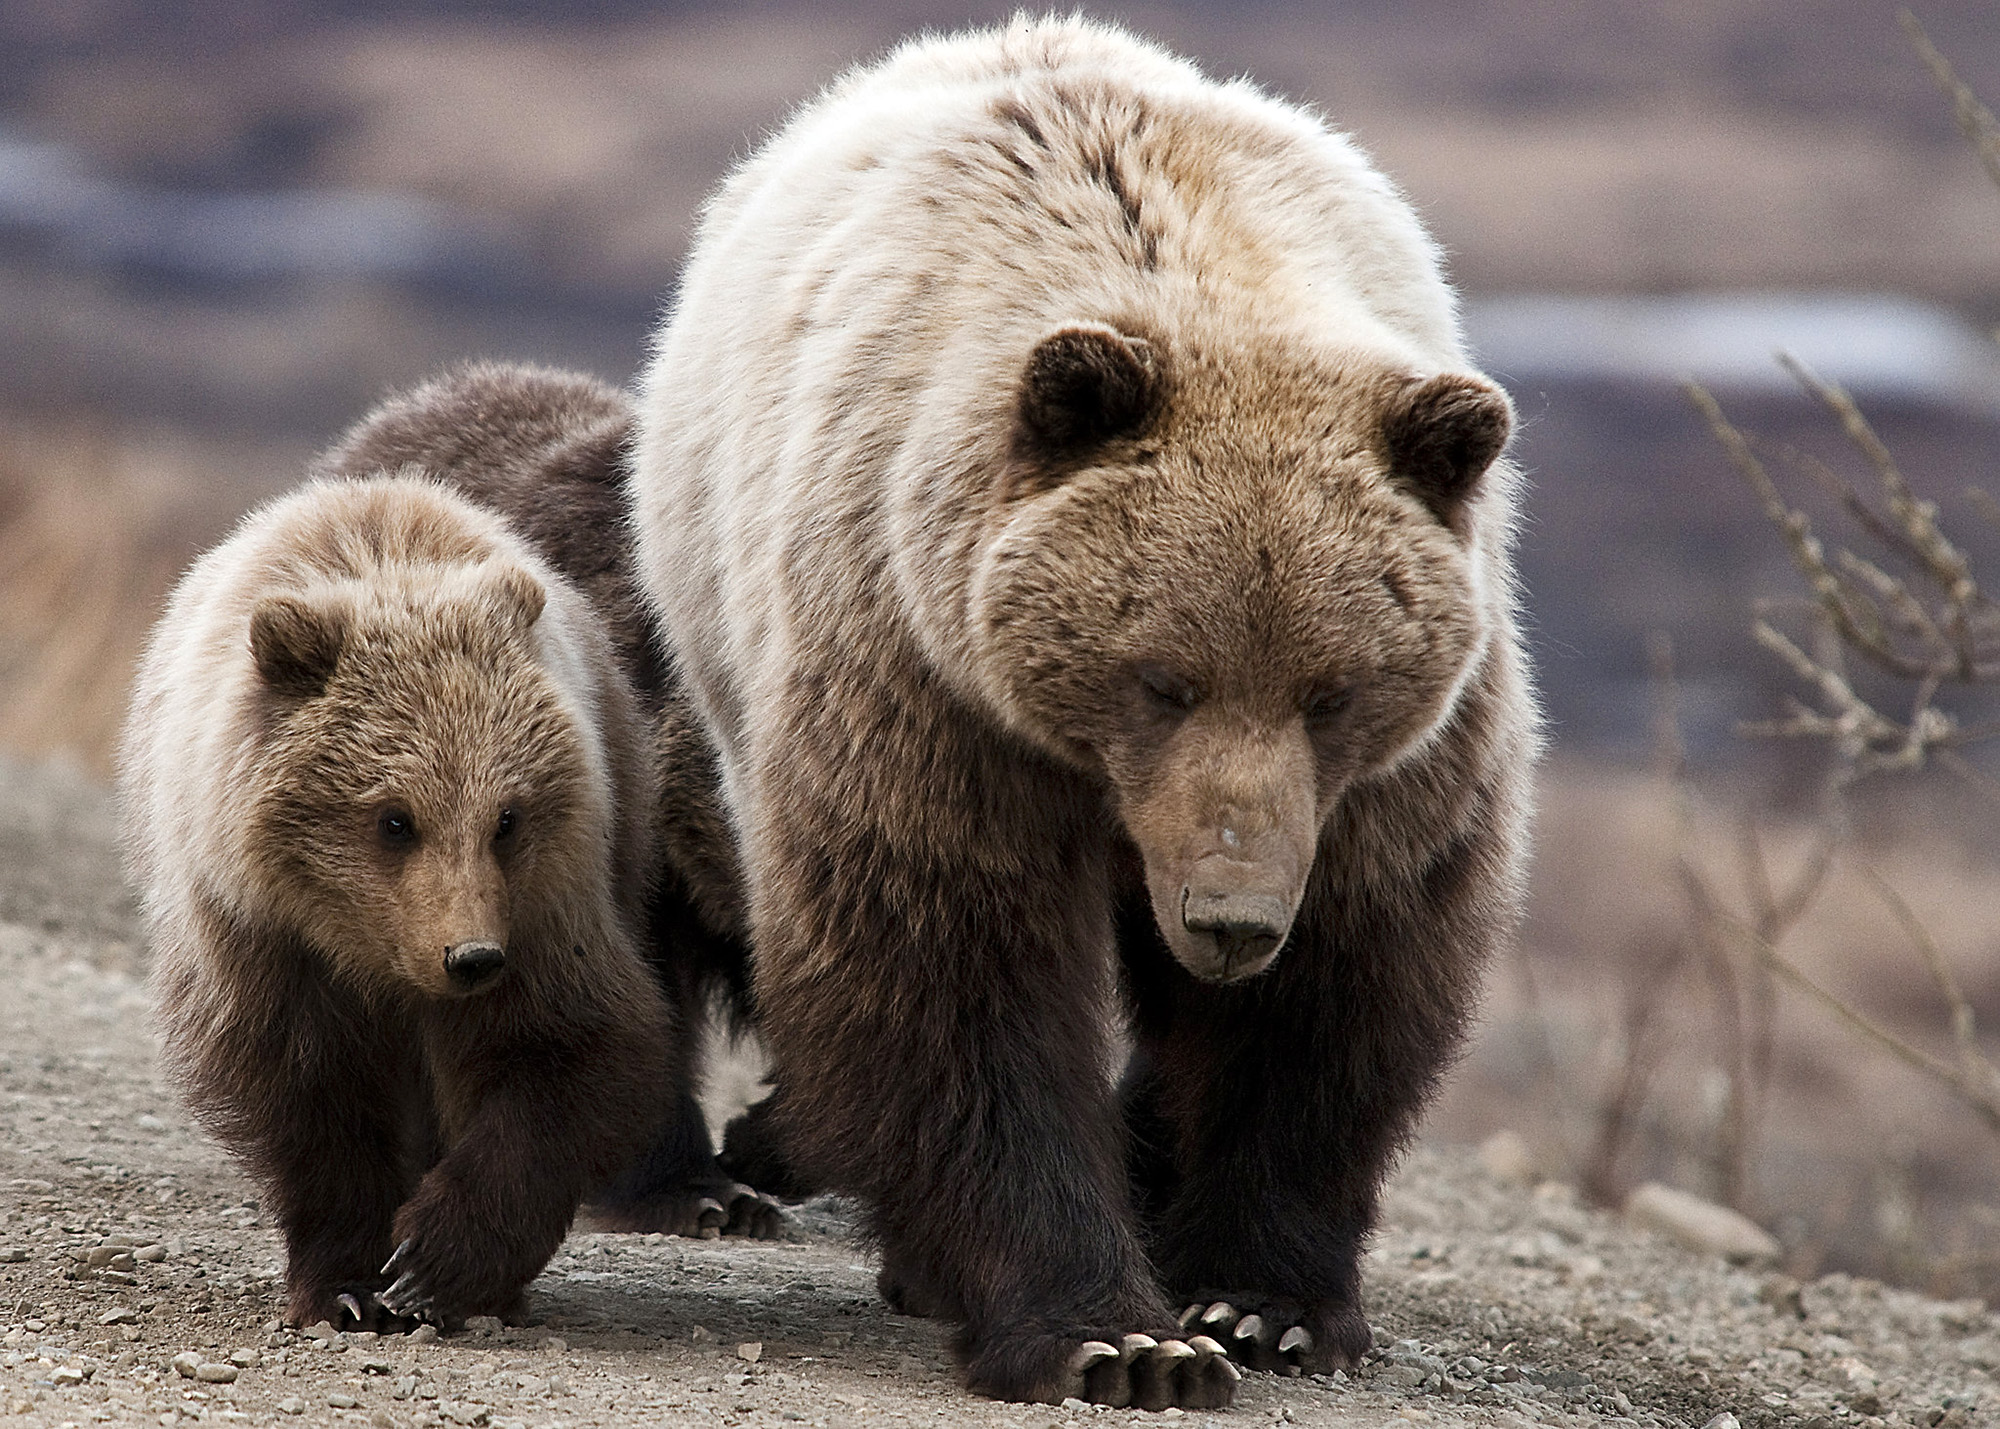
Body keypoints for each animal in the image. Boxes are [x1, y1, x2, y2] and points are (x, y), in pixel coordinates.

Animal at [127, 472, 688, 1320]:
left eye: (506, 817)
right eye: (395, 818)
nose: (472, 956)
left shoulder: (546, 910)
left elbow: (560, 1053)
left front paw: (437, 1262)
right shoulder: (265, 938)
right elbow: (311, 1095)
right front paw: (350, 1283)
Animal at [632, 16, 1536, 1408]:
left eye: (1330, 689)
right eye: (1161, 675)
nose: (1226, 917)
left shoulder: (1385, 779)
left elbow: (1337, 985)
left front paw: (1258, 1302)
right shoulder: (925, 676)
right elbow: (957, 977)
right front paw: (1113, 1337)